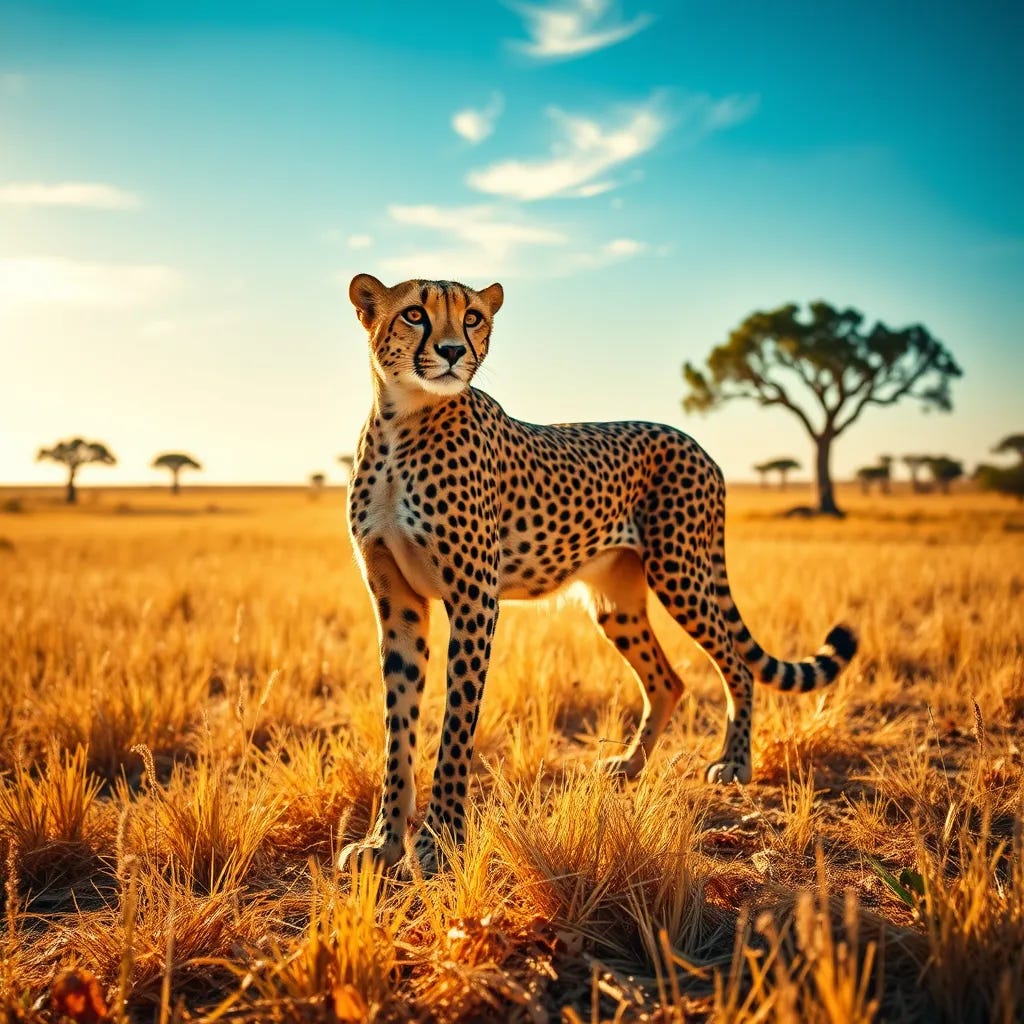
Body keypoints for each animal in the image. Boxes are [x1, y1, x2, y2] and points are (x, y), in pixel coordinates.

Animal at [338, 273, 856, 876]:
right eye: (415, 313)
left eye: (472, 317)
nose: (450, 352)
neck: (403, 421)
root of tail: (694, 442)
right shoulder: (397, 604)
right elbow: (397, 731)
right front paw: (383, 844)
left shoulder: (474, 600)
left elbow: (456, 728)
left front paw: (438, 842)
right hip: (617, 603)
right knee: (668, 679)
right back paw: (630, 767)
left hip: (681, 573)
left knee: (735, 664)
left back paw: (733, 763)